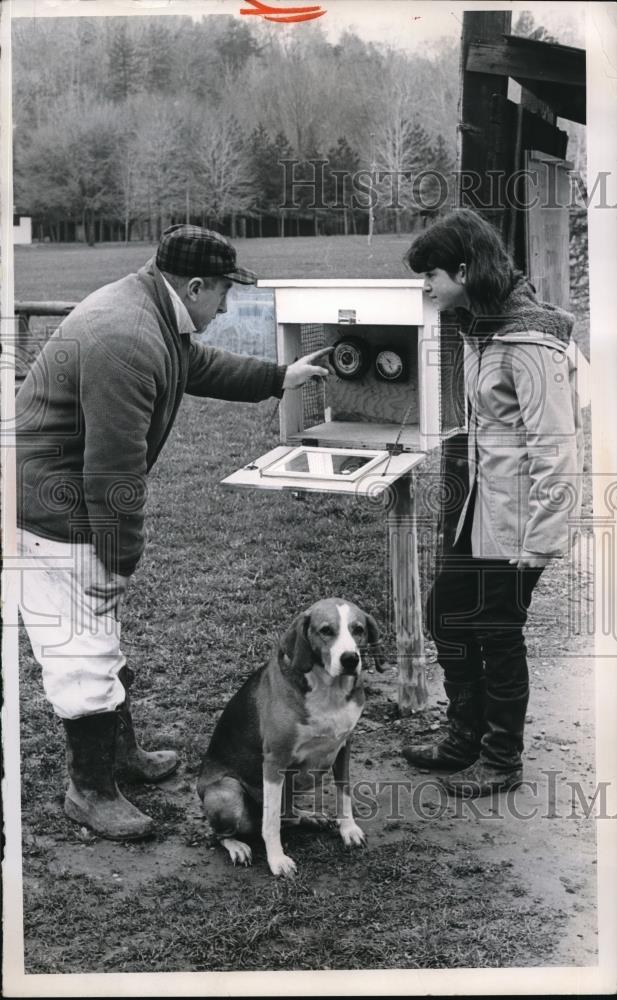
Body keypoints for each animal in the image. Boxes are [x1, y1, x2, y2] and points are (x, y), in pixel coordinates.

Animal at [197, 600, 380, 876]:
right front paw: (277, 860)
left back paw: (307, 816)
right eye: (326, 630)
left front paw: (348, 830)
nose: (350, 659)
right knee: (220, 834)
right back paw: (237, 846)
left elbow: (344, 792)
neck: (329, 691)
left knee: (287, 814)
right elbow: (270, 822)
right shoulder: (275, 760)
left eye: (358, 629)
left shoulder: (344, 746)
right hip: (228, 792)